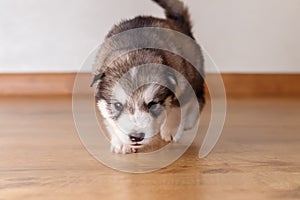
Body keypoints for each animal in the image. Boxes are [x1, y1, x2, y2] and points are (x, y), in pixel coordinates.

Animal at [90, 0, 205, 153]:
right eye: (118, 105)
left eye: (152, 104)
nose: (136, 137)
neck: (135, 51)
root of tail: (178, 25)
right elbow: (111, 120)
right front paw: (121, 142)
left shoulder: (181, 79)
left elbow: (177, 107)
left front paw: (172, 129)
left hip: (194, 73)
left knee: (198, 97)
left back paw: (189, 121)